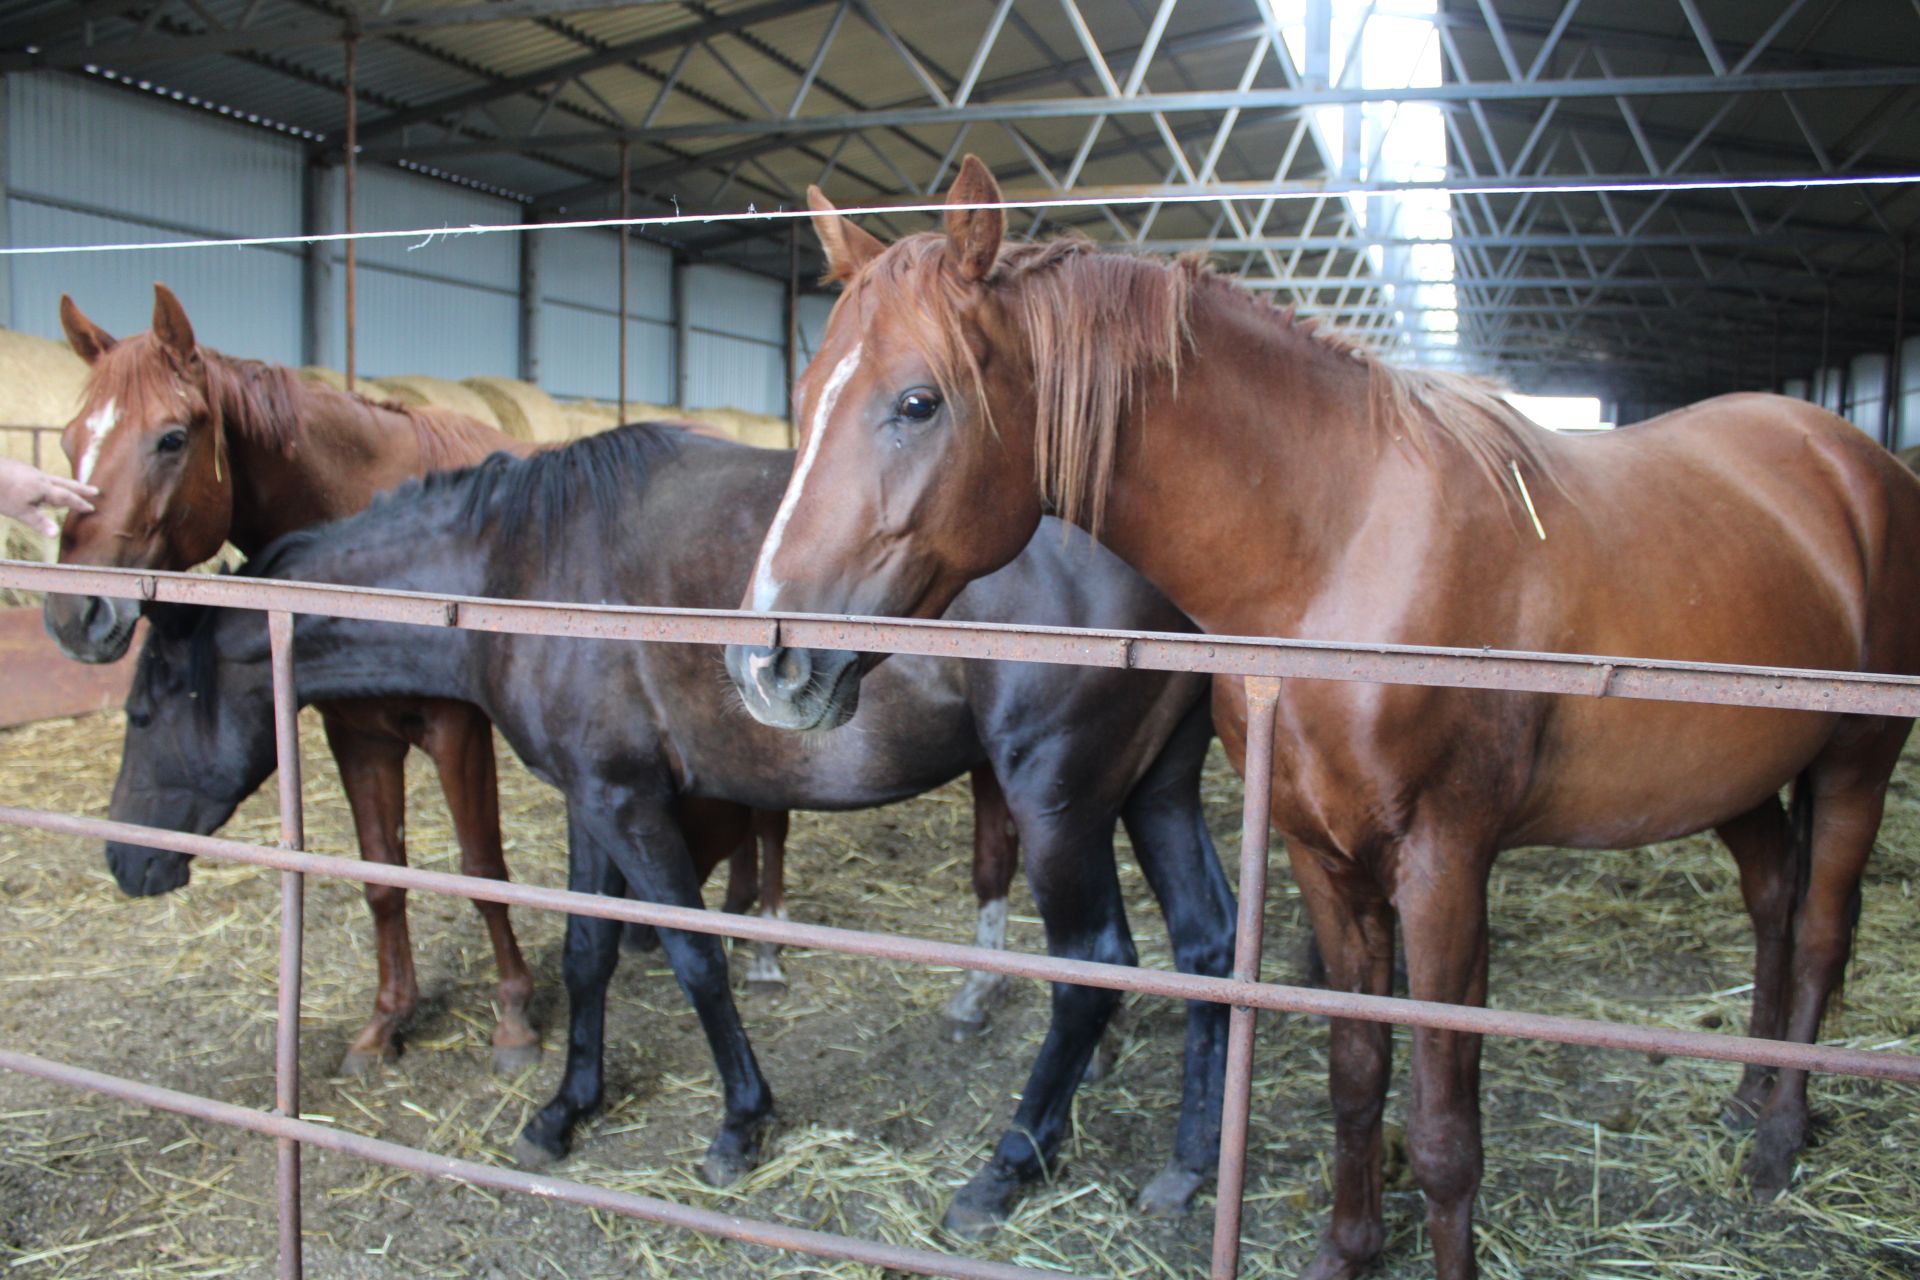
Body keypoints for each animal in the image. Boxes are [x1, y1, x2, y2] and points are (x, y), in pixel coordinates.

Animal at [105, 426, 1236, 1235]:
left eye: (146, 708)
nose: (124, 861)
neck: (525, 566)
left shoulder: (627, 804)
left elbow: (694, 955)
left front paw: (740, 1122)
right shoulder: (591, 796)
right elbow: (588, 950)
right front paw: (566, 1108)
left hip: (1057, 805)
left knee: (1094, 967)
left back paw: (1004, 1169)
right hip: (1154, 792)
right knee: (1208, 945)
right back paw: (1186, 1166)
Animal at [721, 157, 1920, 1280]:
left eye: (919, 401)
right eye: (807, 389)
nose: (766, 661)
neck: (1343, 553)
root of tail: (1855, 461)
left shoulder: (1444, 867)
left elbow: (1442, 1129)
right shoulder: (1321, 858)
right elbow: (1355, 1076)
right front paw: (1346, 1246)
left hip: (1855, 766)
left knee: (1820, 926)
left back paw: (1777, 1140)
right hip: (1741, 780)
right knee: (1772, 905)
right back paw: (1750, 1093)